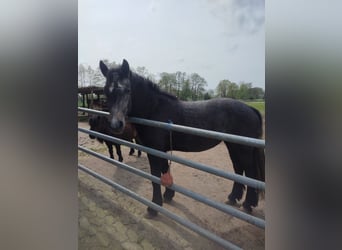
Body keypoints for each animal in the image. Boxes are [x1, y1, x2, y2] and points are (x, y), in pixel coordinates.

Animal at [99, 58, 264, 215]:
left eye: (127, 90)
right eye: (106, 91)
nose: (116, 124)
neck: (155, 109)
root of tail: (250, 108)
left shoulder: (154, 151)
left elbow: (155, 177)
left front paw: (154, 207)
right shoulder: (162, 150)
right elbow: (165, 171)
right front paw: (168, 196)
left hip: (243, 149)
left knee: (250, 173)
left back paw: (248, 204)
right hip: (233, 146)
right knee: (238, 169)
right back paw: (233, 198)